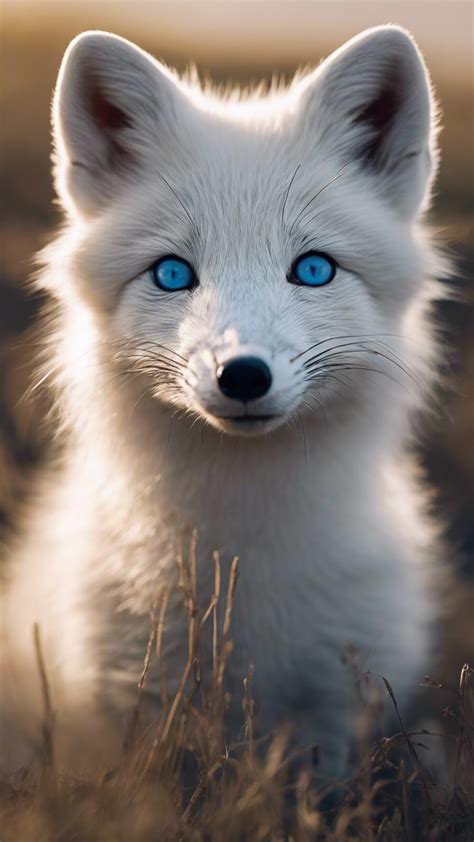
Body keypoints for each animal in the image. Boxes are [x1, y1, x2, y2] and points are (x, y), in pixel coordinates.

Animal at [1, 25, 446, 779]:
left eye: (314, 269)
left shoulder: (333, 712)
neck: (245, 556)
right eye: (172, 274)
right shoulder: (134, 703)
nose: (242, 375)